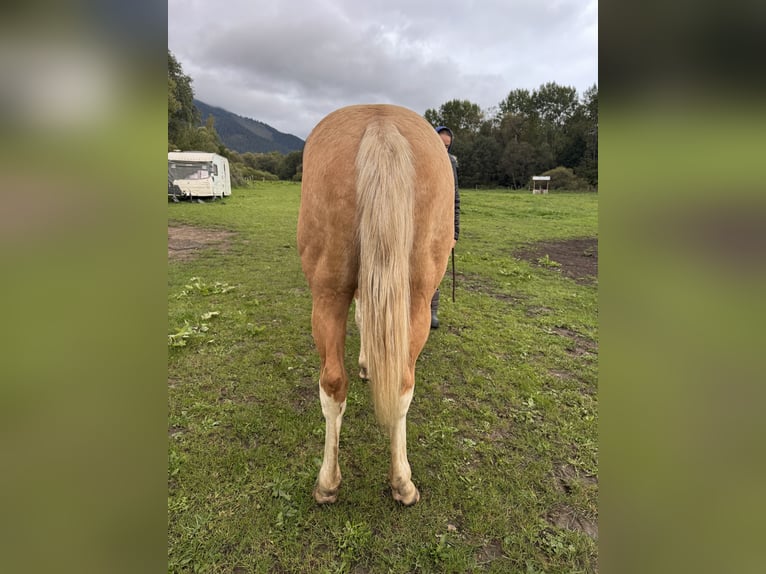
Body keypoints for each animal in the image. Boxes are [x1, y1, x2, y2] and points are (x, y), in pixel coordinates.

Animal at [297, 104, 454, 505]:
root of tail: (380, 121)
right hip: (415, 296)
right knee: (400, 383)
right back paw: (402, 482)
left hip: (327, 294)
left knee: (332, 384)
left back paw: (328, 483)